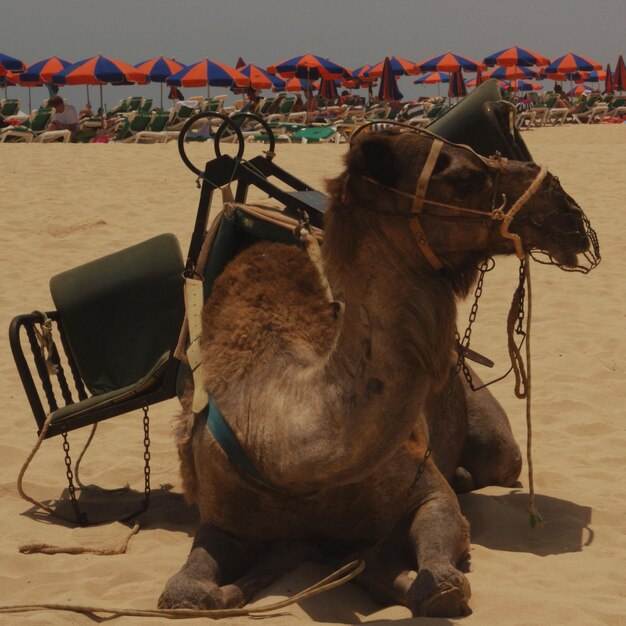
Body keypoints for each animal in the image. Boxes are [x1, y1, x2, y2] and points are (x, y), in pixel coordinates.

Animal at [158, 127, 592, 616]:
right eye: (465, 176)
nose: (565, 207)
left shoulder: (427, 491)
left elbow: (436, 581)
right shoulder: (222, 518)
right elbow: (184, 592)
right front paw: (256, 575)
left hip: (488, 422)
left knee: (501, 460)